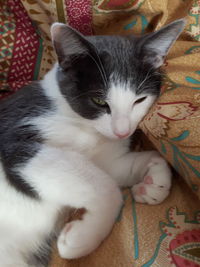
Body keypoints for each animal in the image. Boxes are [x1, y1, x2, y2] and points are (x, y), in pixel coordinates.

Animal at [0, 17, 185, 266]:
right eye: (99, 101)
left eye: (139, 100)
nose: (122, 131)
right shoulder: (16, 138)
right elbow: (105, 187)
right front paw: (81, 239)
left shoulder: (107, 158)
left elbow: (116, 170)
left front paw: (153, 183)